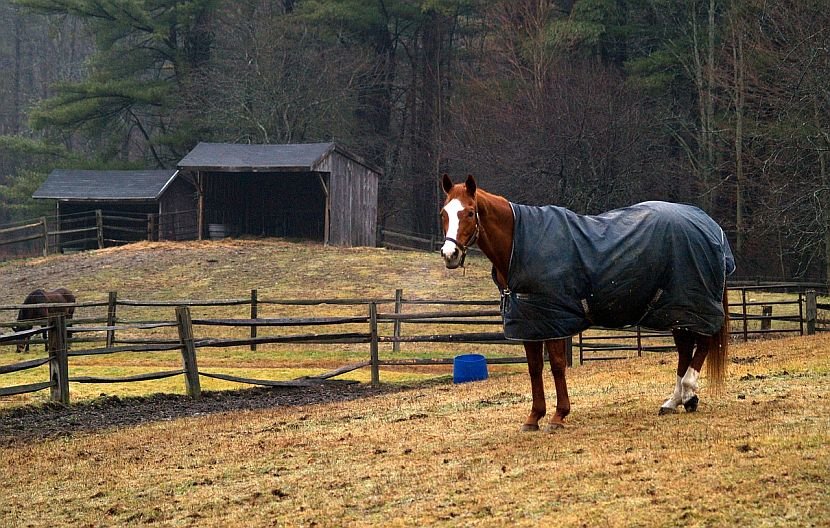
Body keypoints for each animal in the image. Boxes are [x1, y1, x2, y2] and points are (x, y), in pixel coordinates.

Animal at [440, 174, 735, 431]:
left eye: (469, 212)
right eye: (444, 213)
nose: (449, 254)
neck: (518, 247)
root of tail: (709, 225)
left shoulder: (554, 320)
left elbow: (557, 365)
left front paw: (559, 416)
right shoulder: (530, 322)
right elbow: (535, 368)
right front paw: (534, 417)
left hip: (692, 305)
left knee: (703, 343)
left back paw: (689, 393)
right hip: (677, 310)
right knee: (685, 350)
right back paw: (673, 401)